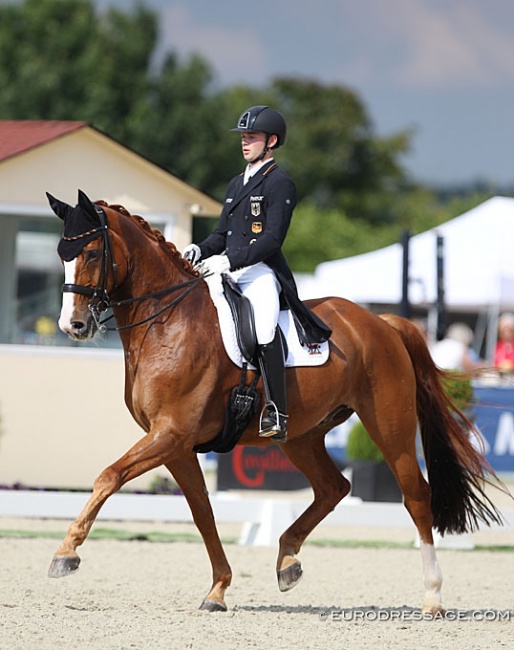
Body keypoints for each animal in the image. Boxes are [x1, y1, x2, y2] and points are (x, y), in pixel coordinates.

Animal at [46, 191, 502, 612]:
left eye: (91, 252)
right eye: (61, 255)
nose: (73, 325)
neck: (167, 321)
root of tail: (382, 322)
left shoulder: (171, 433)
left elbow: (108, 476)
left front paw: (65, 555)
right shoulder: (176, 444)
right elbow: (202, 512)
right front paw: (218, 590)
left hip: (389, 426)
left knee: (416, 496)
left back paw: (432, 595)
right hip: (301, 435)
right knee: (334, 488)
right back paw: (287, 561)